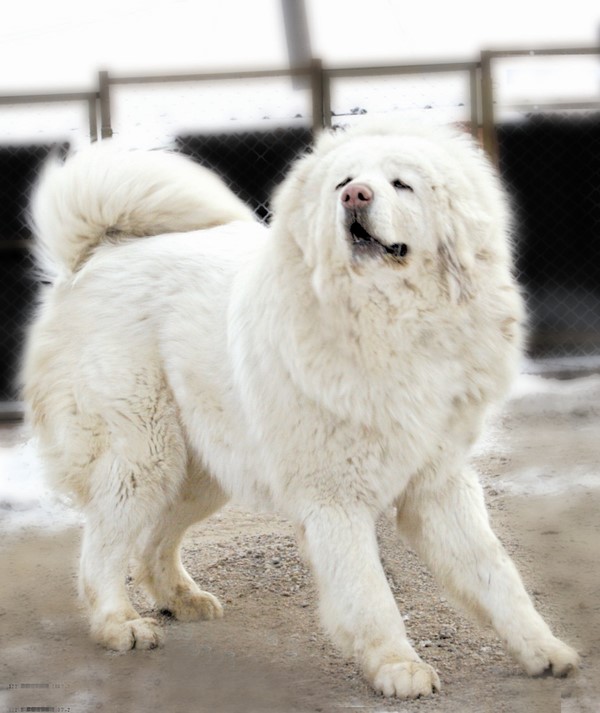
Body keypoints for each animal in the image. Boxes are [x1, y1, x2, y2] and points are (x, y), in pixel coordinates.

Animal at [22, 121, 576, 696]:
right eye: (344, 183)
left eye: (401, 184)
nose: (356, 197)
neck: (391, 324)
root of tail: (100, 253)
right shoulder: (336, 498)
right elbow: (370, 593)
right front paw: (397, 667)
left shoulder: (439, 482)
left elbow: (496, 573)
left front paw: (543, 650)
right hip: (144, 456)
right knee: (103, 547)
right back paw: (119, 624)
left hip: (201, 470)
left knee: (154, 542)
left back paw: (182, 600)